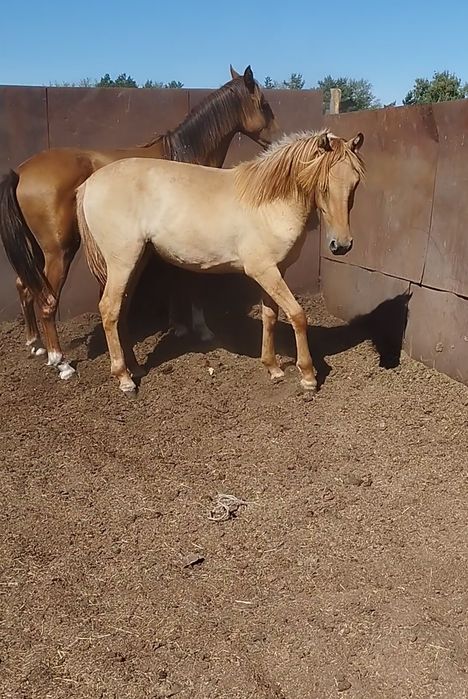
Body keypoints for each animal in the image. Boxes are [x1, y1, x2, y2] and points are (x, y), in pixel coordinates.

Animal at [0, 65, 278, 379]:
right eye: (264, 105)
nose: (276, 138)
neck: (183, 154)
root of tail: (20, 172)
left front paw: (178, 325)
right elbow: (191, 282)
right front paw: (201, 329)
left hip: (35, 252)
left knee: (25, 286)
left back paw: (36, 345)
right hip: (59, 252)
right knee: (47, 301)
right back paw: (61, 362)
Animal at [75, 129, 365, 394]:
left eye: (355, 184)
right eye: (323, 185)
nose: (341, 245)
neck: (269, 203)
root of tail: (88, 184)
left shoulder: (274, 271)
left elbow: (270, 316)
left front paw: (273, 368)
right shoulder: (263, 271)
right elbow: (297, 315)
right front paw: (308, 375)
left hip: (137, 262)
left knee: (121, 311)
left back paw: (135, 368)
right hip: (122, 263)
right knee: (109, 309)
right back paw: (124, 379)